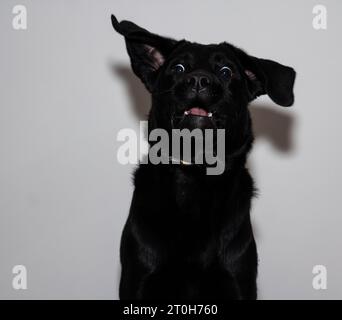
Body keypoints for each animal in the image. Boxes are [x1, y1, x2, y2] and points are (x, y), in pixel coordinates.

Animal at [111, 14, 296, 300]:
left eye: (226, 72)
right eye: (178, 68)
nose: (198, 80)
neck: (195, 176)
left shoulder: (238, 281)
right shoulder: (139, 280)